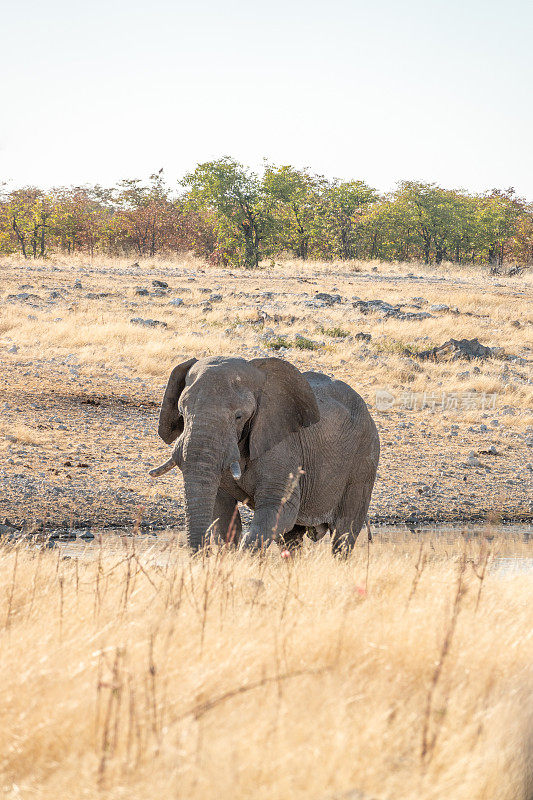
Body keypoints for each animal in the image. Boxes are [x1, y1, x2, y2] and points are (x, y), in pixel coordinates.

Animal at [149, 354, 378, 552]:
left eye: (239, 416)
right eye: (182, 411)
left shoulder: (284, 446)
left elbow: (279, 509)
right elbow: (222, 512)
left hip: (364, 458)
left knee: (344, 532)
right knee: (292, 539)